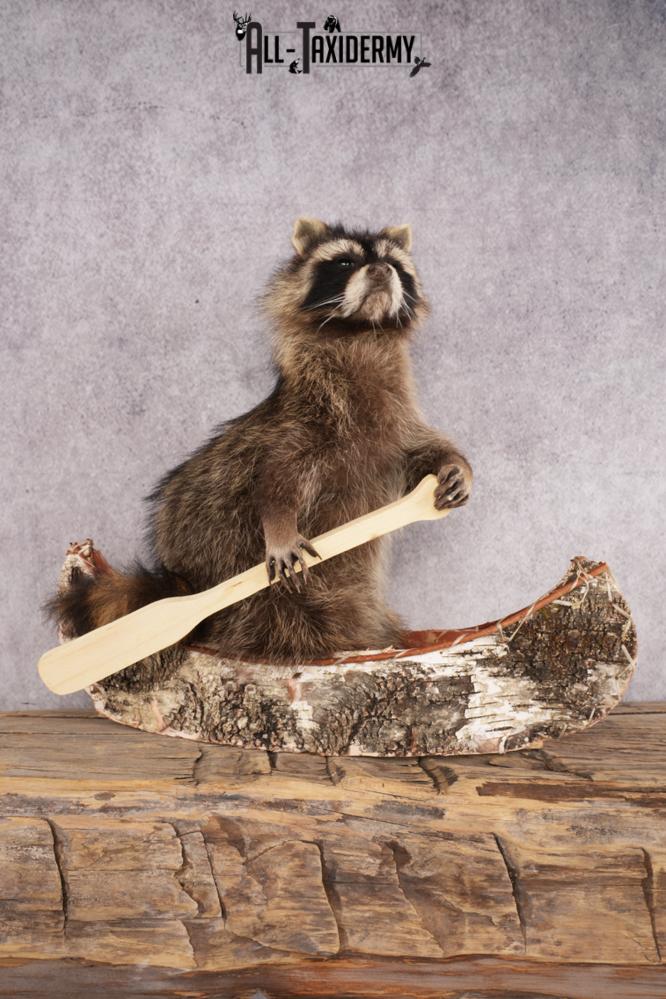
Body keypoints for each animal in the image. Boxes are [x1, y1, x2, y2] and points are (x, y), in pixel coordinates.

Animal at [47, 217, 473, 671]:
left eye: (393, 263)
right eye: (345, 261)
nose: (379, 270)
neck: (359, 334)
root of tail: (186, 581)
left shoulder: (395, 425)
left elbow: (422, 451)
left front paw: (454, 466)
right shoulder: (295, 427)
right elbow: (274, 482)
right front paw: (281, 527)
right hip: (242, 573)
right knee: (284, 612)